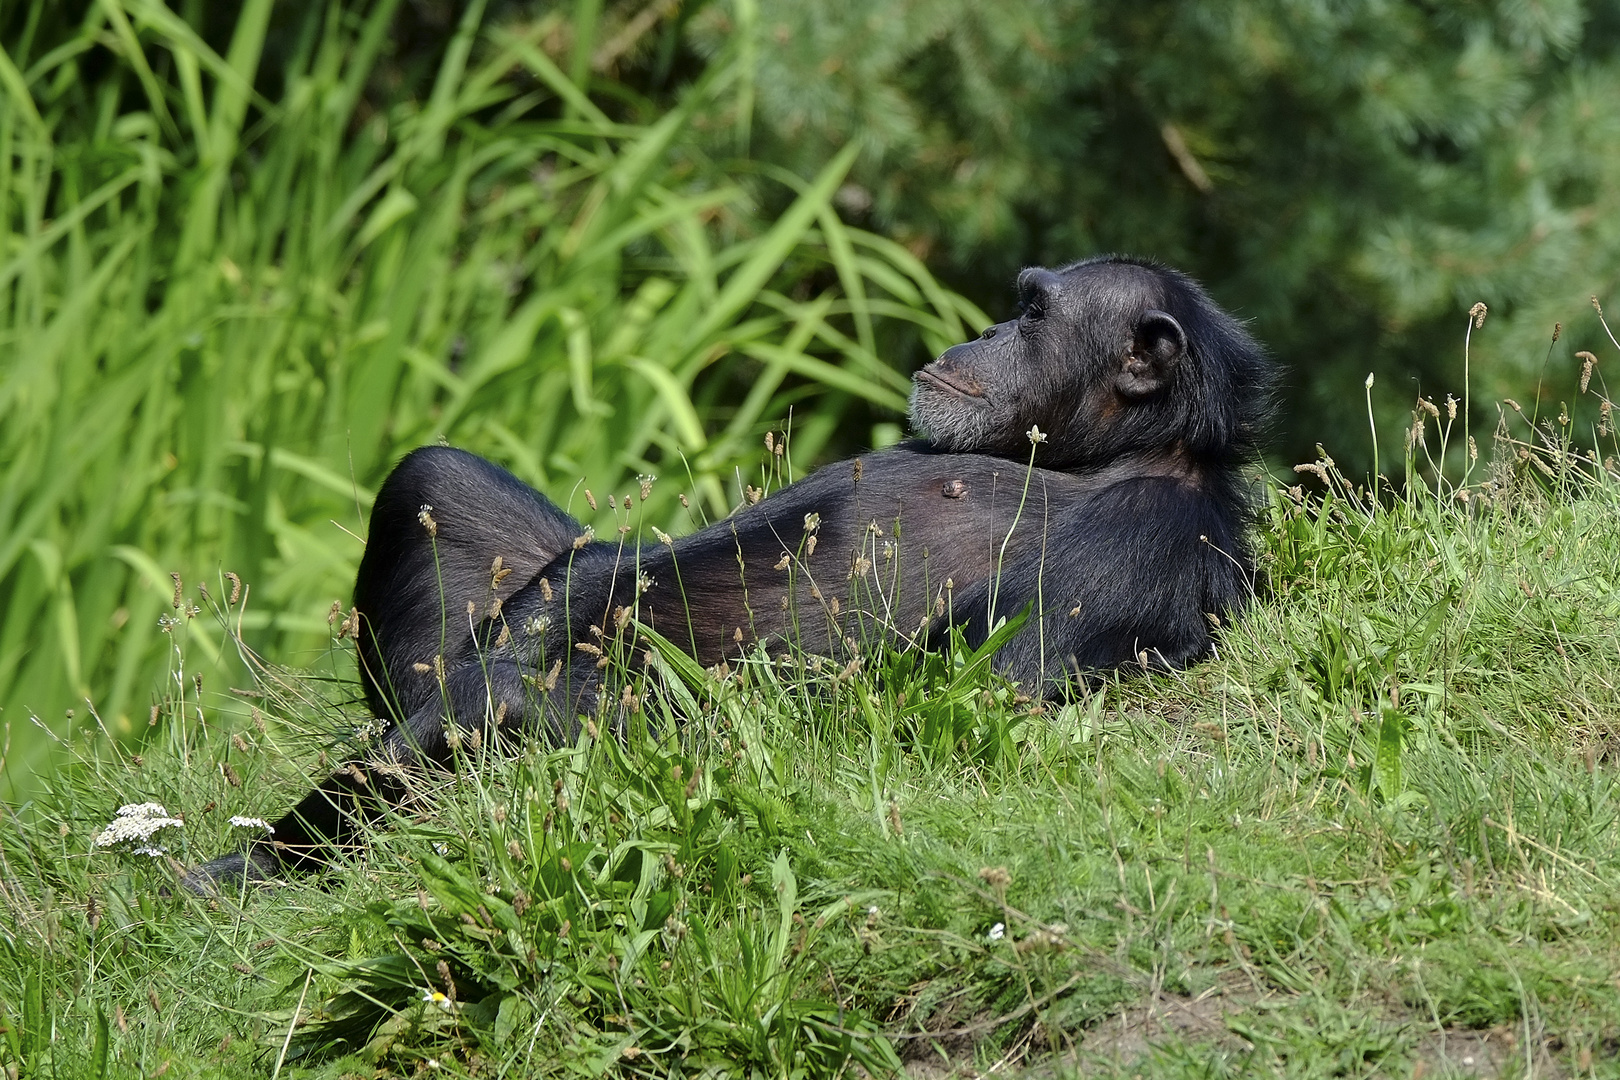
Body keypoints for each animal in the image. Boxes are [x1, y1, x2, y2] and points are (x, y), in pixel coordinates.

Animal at [186, 257, 1276, 893]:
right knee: (439, 483)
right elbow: (618, 569)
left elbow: (951, 702)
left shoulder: (1136, 548)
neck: (1109, 456)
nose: (983, 333)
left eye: (1035, 315)